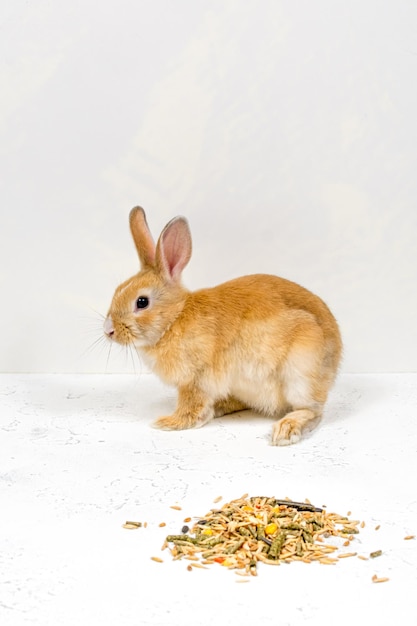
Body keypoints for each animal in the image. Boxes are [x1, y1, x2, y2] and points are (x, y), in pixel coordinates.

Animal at [103, 207, 342, 446]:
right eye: (117, 290)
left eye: (142, 302)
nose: (108, 331)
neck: (174, 319)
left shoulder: (195, 380)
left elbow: (191, 406)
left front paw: (169, 422)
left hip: (301, 372)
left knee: (313, 411)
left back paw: (286, 429)